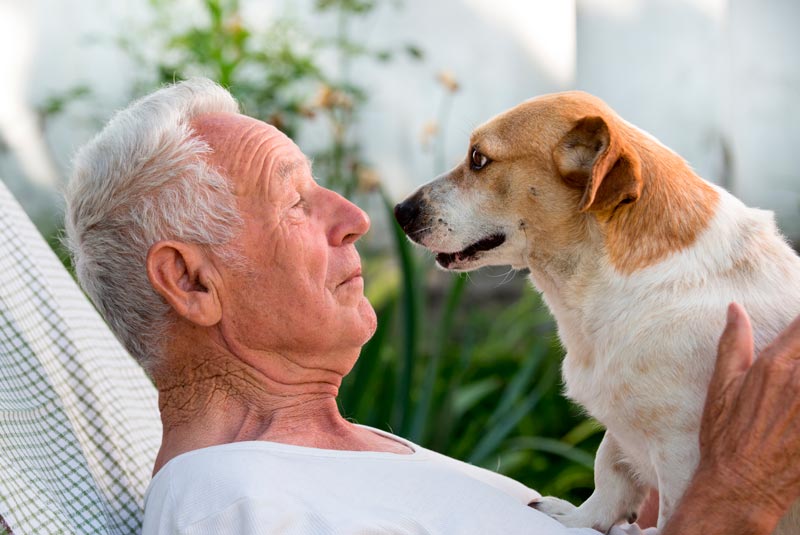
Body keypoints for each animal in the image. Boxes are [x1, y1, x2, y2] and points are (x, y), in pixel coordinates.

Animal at [396, 91, 800, 532]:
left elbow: (665, 508)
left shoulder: (682, 450)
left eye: (478, 159)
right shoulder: (623, 435)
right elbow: (610, 470)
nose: (399, 210)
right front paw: (578, 517)